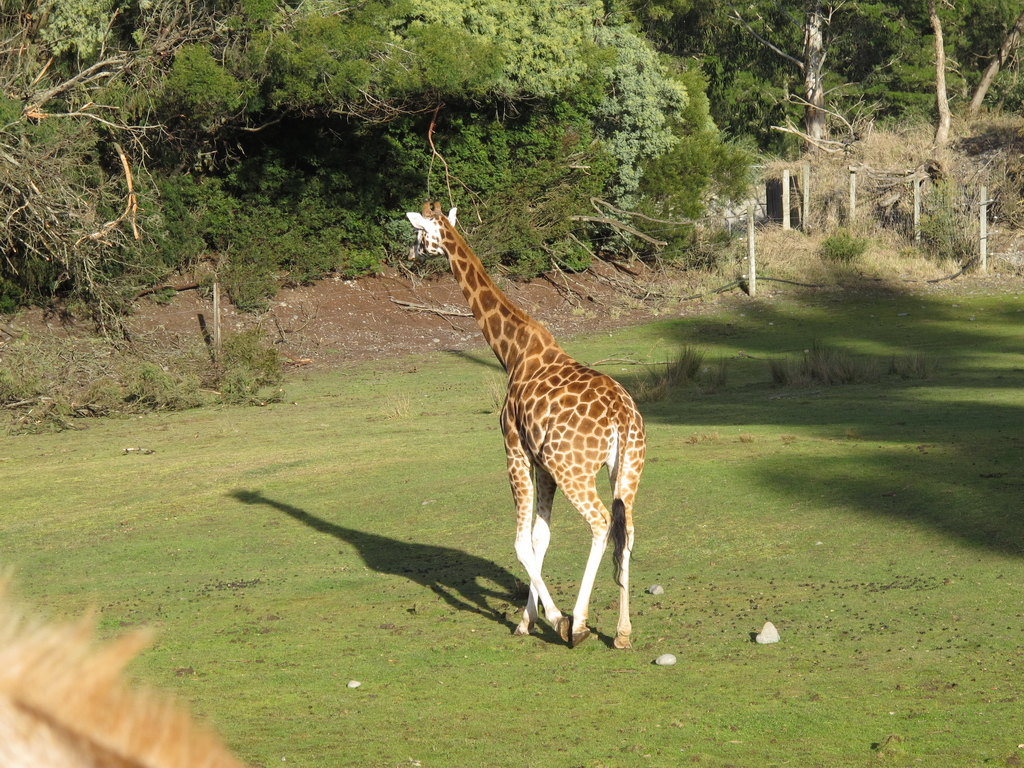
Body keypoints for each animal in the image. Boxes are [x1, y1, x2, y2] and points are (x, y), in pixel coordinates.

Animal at [403, 199, 643, 651]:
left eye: (418, 233)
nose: (409, 256)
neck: (512, 352)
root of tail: (622, 416)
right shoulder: (543, 465)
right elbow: (539, 538)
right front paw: (525, 620)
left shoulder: (515, 449)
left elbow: (519, 542)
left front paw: (556, 620)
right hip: (627, 468)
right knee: (627, 529)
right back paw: (622, 633)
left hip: (575, 469)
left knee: (601, 523)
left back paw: (580, 624)